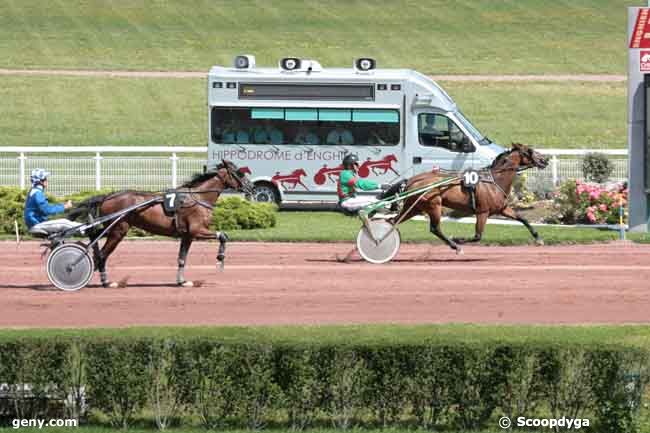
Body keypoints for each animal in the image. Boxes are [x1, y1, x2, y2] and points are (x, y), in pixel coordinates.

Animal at [70, 160, 253, 286]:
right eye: (239, 173)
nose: (251, 188)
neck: (197, 197)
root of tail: (107, 197)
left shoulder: (187, 235)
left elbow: (182, 258)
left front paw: (181, 281)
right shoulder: (197, 230)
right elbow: (223, 235)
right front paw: (220, 258)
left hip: (113, 228)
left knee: (94, 235)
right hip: (118, 229)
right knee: (102, 254)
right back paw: (104, 281)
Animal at [392, 142, 544, 253]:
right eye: (529, 150)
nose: (544, 160)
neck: (494, 181)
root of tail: (412, 180)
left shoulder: (502, 209)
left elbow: (523, 219)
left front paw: (538, 238)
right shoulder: (483, 212)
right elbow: (477, 236)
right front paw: (458, 239)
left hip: (415, 207)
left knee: (394, 221)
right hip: (434, 205)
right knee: (435, 228)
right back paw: (455, 246)